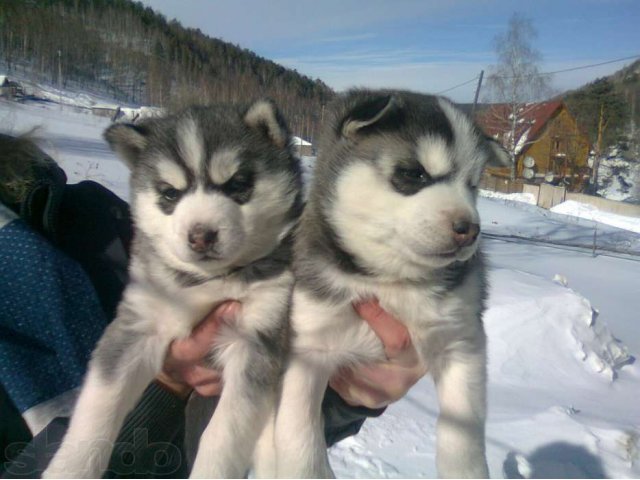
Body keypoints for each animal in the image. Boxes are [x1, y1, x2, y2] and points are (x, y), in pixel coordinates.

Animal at [44, 99, 302, 478]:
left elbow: (223, 434)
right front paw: (67, 469)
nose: (201, 236)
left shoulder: (256, 339)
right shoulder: (137, 325)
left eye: (237, 184)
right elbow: (98, 407)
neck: (207, 280)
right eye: (170, 193)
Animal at [272, 89, 508, 476]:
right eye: (414, 173)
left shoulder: (462, 340)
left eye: (473, 184)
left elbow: (462, 429)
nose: (469, 229)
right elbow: (297, 430)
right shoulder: (307, 347)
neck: (392, 281)